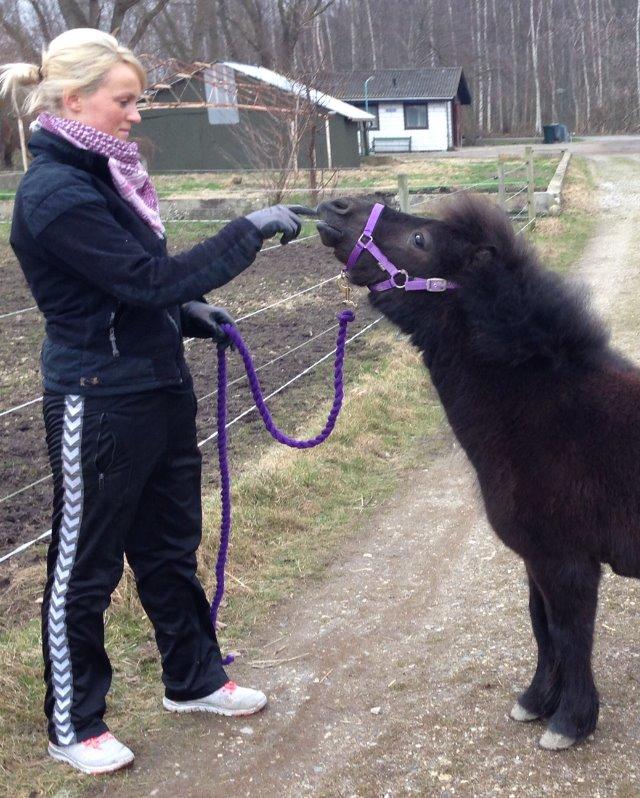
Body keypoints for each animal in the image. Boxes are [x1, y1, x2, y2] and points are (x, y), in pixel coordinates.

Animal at [316, 197, 640, 752]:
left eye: (421, 240)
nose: (336, 207)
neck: (541, 408)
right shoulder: (537, 559)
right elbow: (542, 627)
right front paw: (535, 702)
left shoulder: (567, 562)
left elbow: (570, 633)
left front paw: (569, 722)